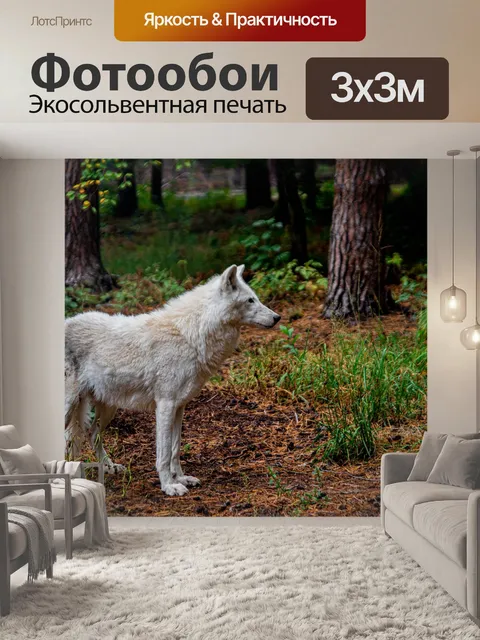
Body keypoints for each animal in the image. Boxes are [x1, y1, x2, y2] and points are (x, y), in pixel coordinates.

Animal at [65, 265, 281, 496]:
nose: (277, 317)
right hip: (72, 407)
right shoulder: (165, 405)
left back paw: (107, 467)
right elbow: (164, 453)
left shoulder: (179, 406)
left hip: (108, 408)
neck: (192, 335)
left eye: (255, 298)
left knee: (90, 433)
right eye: (250, 300)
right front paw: (169, 486)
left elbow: (175, 449)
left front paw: (181, 478)